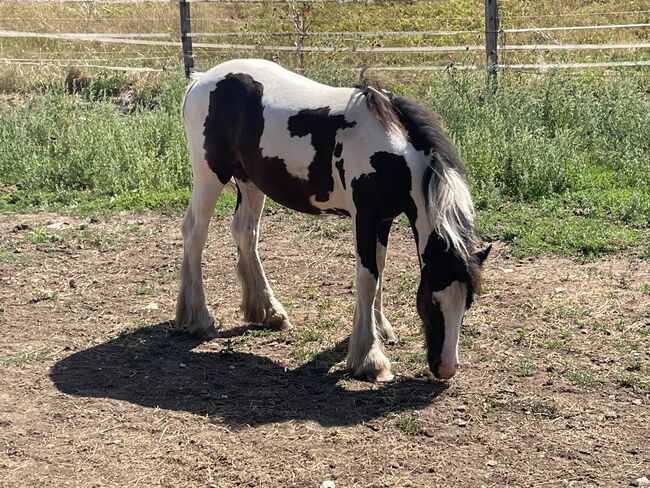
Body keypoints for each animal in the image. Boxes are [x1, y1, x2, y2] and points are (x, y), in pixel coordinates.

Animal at [175, 59, 490, 382]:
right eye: (432, 302)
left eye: (467, 302)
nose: (446, 368)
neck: (393, 154)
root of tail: (201, 80)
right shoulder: (365, 217)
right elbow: (367, 279)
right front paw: (370, 358)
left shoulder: (384, 219)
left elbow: (380, 268)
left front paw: (381, 329)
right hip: (209, 175)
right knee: (194, 233)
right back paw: (198, 318)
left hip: (249, 181)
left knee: (245, 234)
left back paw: (269, 313)